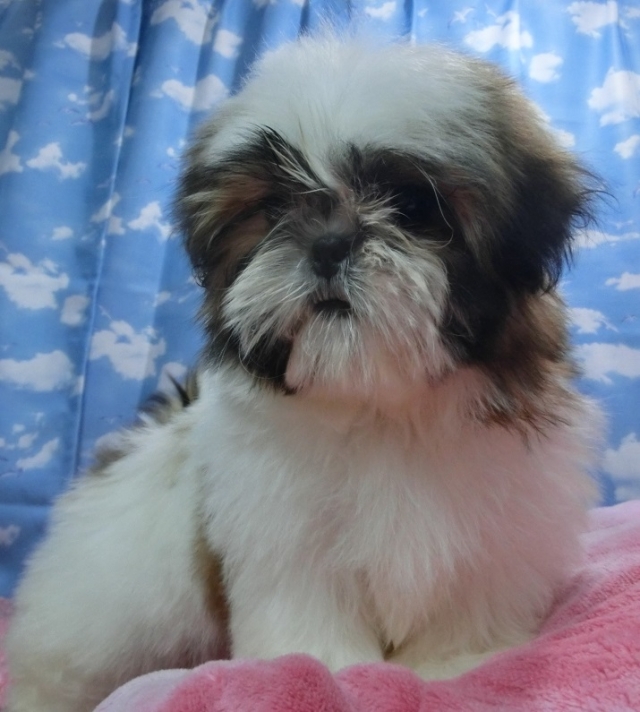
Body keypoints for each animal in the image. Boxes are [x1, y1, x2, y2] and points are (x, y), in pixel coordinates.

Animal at [6, 35, 602, 712]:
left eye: (414, 206)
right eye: (273, 210)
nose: (327, 245)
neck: (379, 401)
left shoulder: (502, 523)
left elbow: (468, 611)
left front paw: (457, 664)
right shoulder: (285, 540)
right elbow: (307, 617)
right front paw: (325, 670)